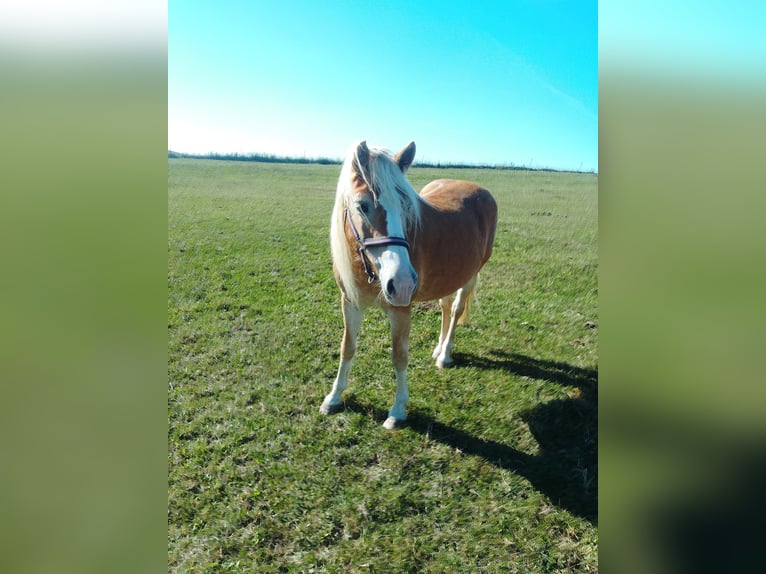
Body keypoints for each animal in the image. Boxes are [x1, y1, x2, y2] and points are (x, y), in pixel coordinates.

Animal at [319, 141, 498, 429]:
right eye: (362, 206)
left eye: (406, 206)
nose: (402, 283)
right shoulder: (350, 303)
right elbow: (347, 348)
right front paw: (333, 398)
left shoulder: (400, 310)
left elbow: (399, 357)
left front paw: (398, 410)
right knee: (445, 307)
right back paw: (438, 348)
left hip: (470, 276)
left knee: (456, 310)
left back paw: (445, 355)